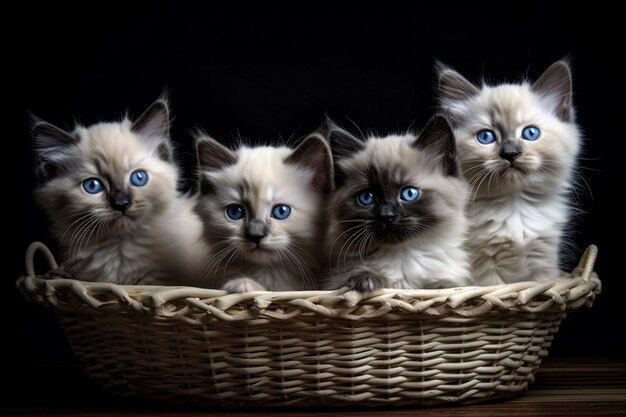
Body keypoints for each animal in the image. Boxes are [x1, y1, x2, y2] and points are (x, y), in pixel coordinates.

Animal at [194, 132, 332, 290]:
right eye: (235, 212)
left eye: (281, 211)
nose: (255, 236)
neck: (270, 275)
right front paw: (242, 284)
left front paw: (245, 284)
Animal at [322, 114, 468, 290]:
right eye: (367, 197)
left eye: (409, 194)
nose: (387, 216)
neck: (401, 256)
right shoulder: (332, 283)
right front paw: (365, 280)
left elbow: (444, 285)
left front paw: (444, 286)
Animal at [434, 60, 580, 284]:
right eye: (486, 137)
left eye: (530, 133)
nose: (510, 153)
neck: (514, 206)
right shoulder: (484, 272)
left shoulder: (543, 264)